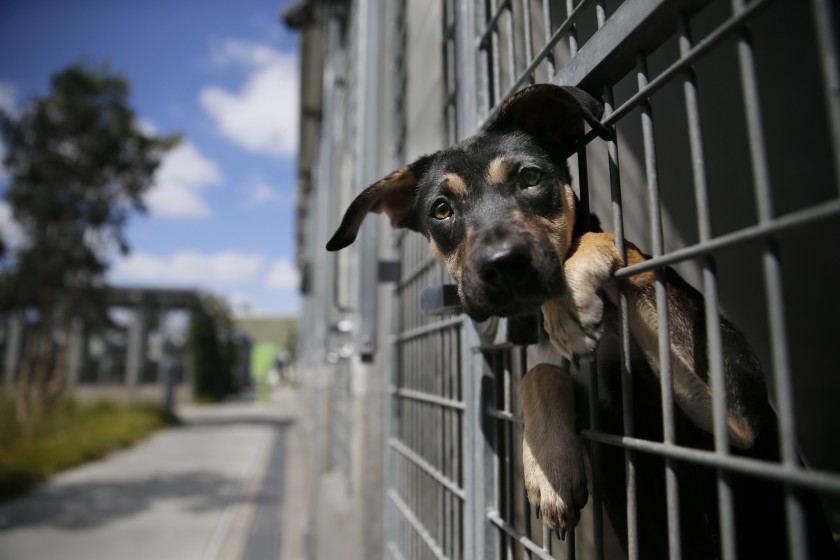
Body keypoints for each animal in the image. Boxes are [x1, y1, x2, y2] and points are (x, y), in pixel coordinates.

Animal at [324, 84, 836, 560]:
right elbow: (538, 372)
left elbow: (619, 245)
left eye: (531, 177)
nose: (503, 265)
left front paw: (573, 292)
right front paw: (547, 465)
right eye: (441, 209)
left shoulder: (737, 421)